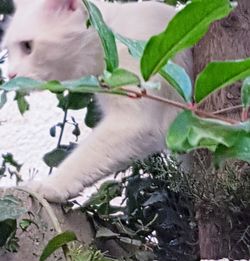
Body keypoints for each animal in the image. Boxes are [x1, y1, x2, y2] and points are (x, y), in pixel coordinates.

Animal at [2, 0, 193, 201]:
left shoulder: (133, 121)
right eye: (9, 51)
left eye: (27, 46)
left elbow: (83, 157)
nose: (10, 74)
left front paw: (51, 185)